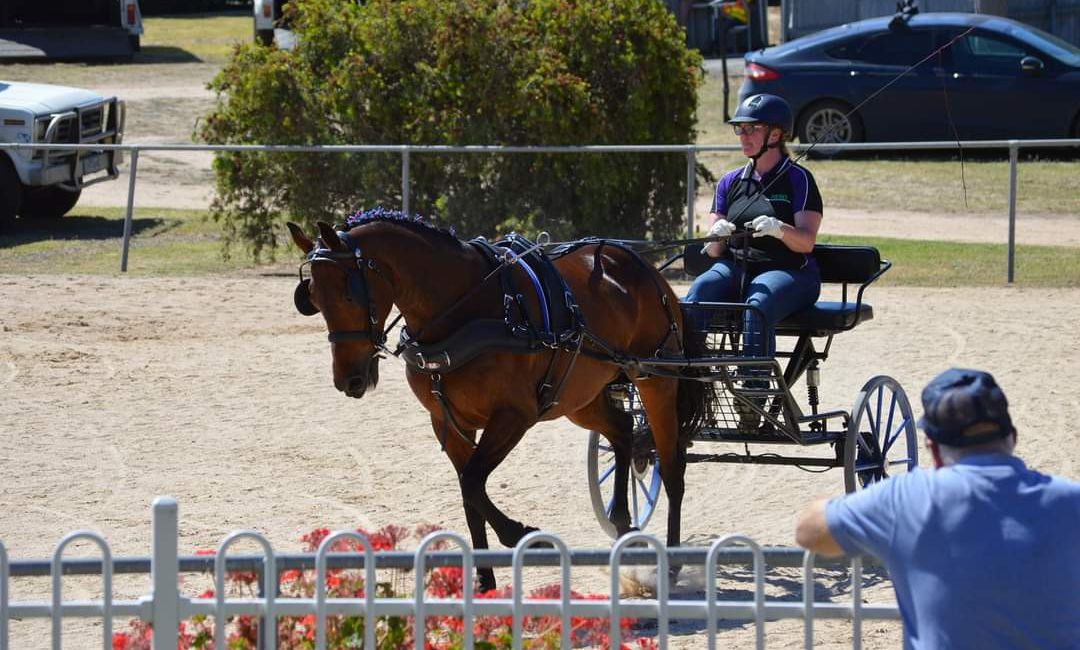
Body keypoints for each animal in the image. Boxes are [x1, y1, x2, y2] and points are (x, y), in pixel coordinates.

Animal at [289, 212, 708, 591]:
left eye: (349, 292)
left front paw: (525, 535)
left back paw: (672, 562)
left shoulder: (513, 416)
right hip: (580, 396)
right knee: (622, 432)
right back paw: (622, 521)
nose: (349, 379)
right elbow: (467, 495)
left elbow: (474, 482)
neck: (464, 309)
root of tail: (646, 270)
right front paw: (485, 578)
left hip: (655, 381)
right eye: (313, 297)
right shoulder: (447, 423)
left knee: (672, 468)